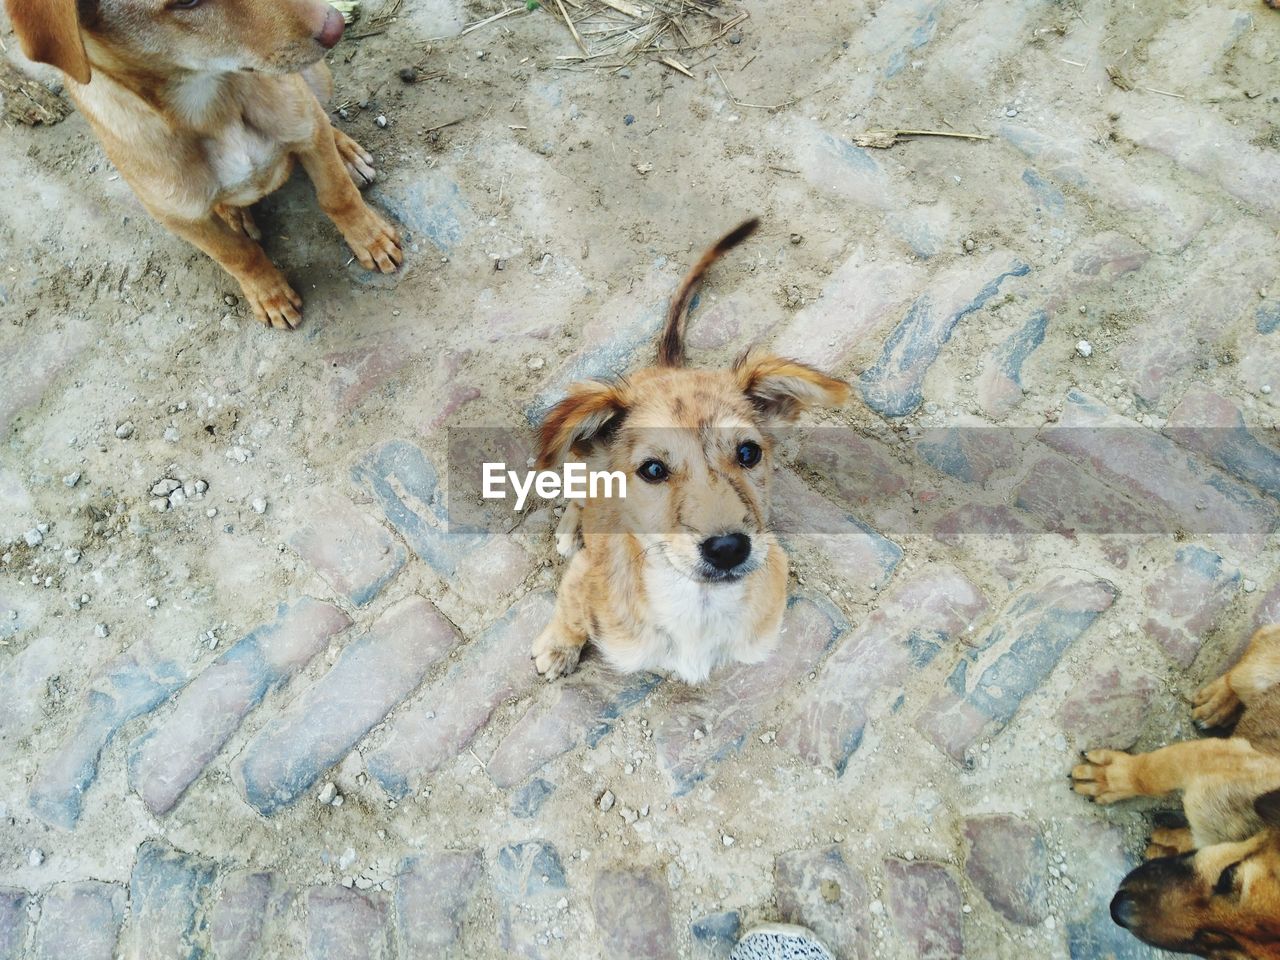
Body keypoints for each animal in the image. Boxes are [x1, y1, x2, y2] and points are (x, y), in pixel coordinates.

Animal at [5, 0, 401, 330]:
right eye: (186, 0)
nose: (335, 24)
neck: (212, 107)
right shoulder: (177, 217)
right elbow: (237, 256)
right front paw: (269, 294)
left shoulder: (305, 125)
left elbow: (337, 194)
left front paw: (371, 239)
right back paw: (235, 214)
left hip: (316, 81)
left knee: (323, 120)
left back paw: (347, 154)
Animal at [529, 220, 849, 686]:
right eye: (653, 469)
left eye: (749, 453)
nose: (729, 548)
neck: (697, 606)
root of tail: (665, 367)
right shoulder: (584, 573)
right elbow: (570, 611)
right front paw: (557, 647)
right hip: (577, 465)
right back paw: (571, 529)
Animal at [1070, 627, 1280, 957]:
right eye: (1227, 876)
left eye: (1229, 949)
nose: (1119, 910)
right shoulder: (1217, 757)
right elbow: (1152, 772)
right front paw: (1111, 777)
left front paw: (1171, 842)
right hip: (1255, 672)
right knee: (1258, 642)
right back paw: (1219, 701)